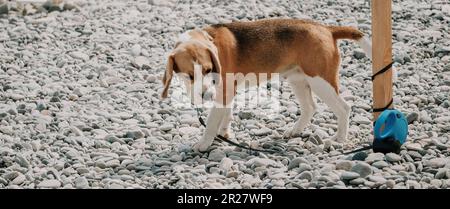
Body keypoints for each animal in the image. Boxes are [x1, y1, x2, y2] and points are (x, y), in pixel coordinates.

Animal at [162, 18, 372, 153]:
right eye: (189, 75)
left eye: (208, 70)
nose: (207, 96)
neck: (207, 39)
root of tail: (327, 29)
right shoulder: (227, 92)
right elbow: (225, 115)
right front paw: (224, 133)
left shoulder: (222, 92)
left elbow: (212, 121)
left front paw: (204, 143)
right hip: (298, 80)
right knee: (310, 108)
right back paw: (295, 131)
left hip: (320, 81)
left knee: (344, 108)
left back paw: (339, 139)